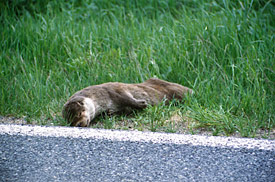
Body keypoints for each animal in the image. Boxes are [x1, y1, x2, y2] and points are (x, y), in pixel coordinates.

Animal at [62, 78, 194, 126]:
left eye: (79, 113)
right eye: (71, 122)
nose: (79, 124)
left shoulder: (113, 90)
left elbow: (127, 98)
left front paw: (142, 104)